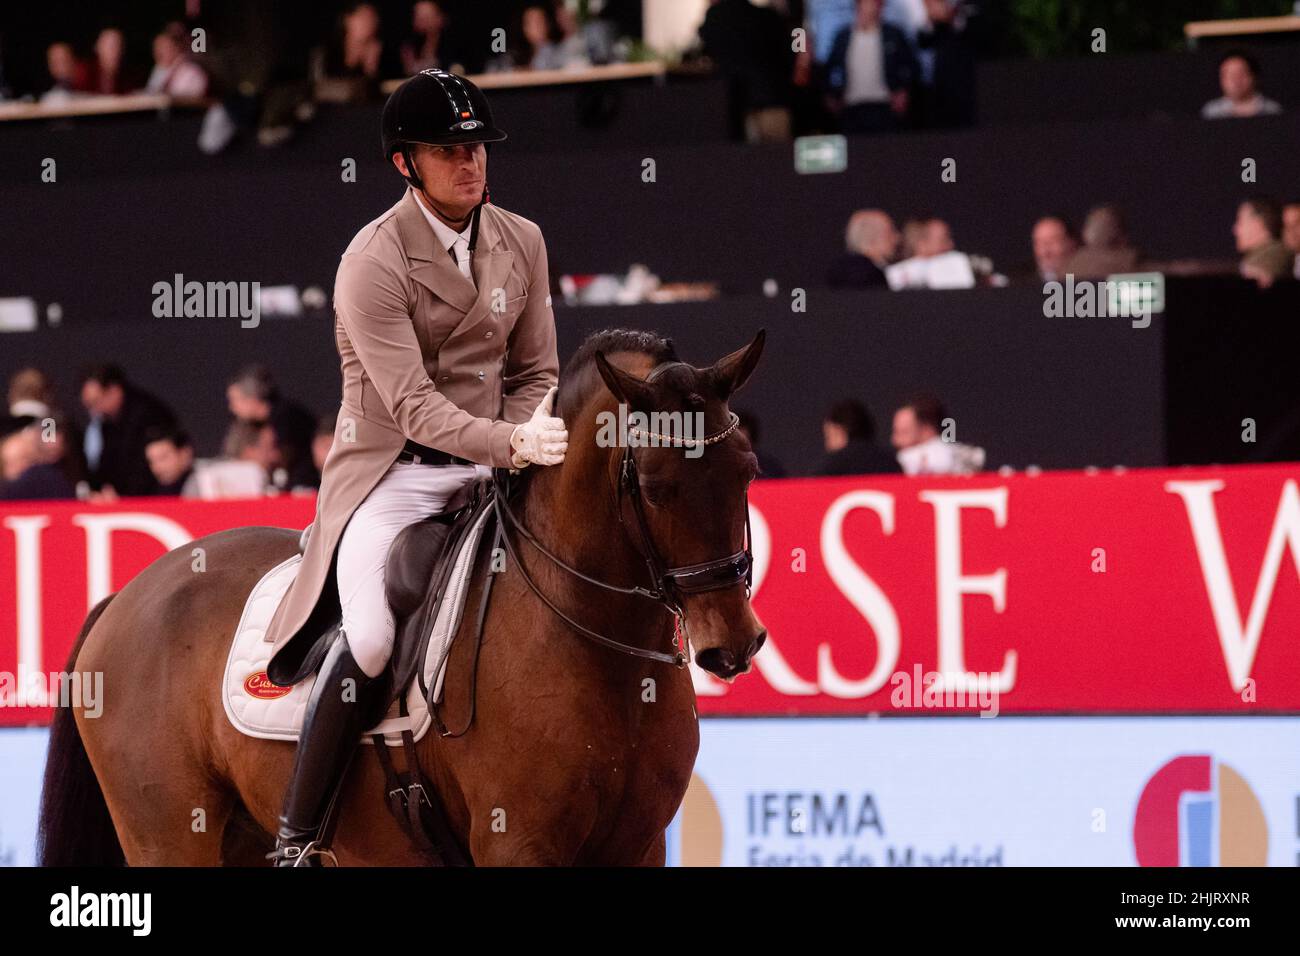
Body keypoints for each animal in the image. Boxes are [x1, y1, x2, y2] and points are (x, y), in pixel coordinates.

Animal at [37, 327, 767, 866]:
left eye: (748, 469)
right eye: (656, 487)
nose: (733, 644)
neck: (599, 644)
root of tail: (126, 596)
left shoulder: (640, 846)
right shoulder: (518, 844)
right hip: (170, 836)